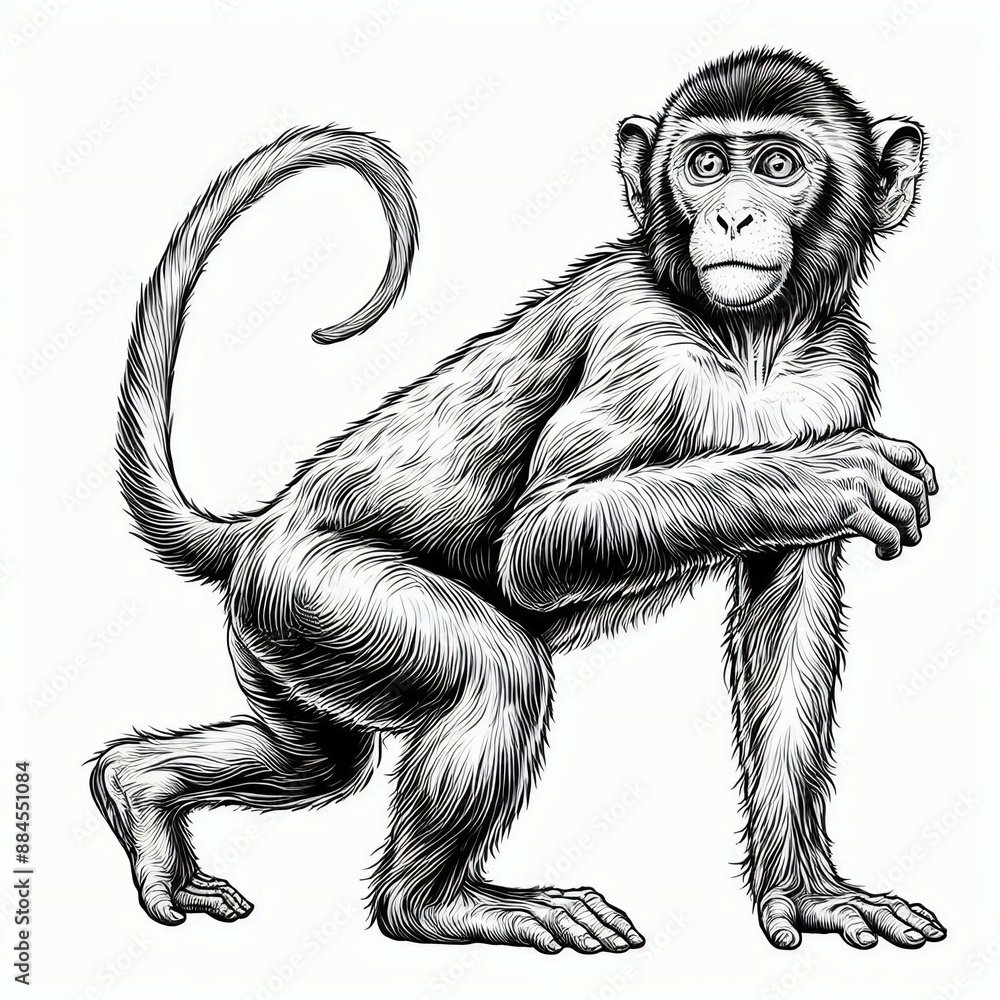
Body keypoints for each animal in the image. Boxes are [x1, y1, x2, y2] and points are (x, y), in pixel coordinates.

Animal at [91, 47, 945, 954]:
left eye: (779, 166)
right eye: (707, 164)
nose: (735, 217)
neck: (753, 344)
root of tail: (264, 525)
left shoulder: (838, 372)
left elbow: (788, 625)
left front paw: (807, 889)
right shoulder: (643, 345)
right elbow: (538, 543)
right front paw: (824, 479)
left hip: (281, 638)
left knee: (318, 762)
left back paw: (138, 785)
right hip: (313, 592)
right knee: (493, 672)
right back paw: (437, 904)